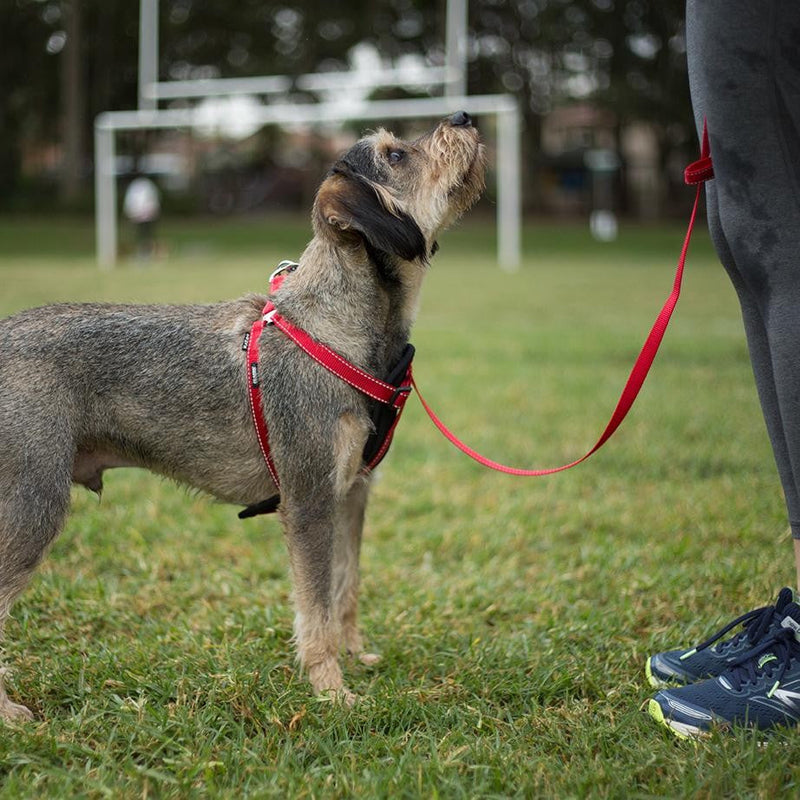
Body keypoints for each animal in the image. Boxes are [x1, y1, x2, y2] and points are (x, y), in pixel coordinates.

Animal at [0, 112, 484, 720]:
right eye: (395, 155)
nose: (464, 117)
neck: (336, 328)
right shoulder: (309, 501)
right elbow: (316, 607)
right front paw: (332, 690)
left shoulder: (352, 494)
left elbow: (345, 590)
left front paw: (354, 657)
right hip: (34, 504)